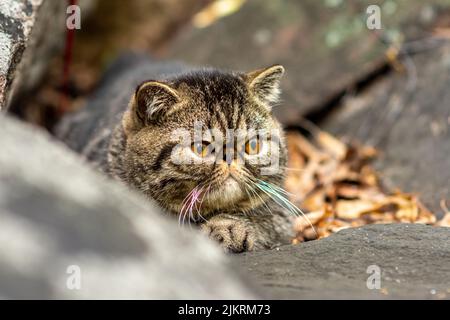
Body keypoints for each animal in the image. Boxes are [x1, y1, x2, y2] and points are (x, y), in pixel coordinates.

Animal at [57, 55, 296, 252]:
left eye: (251, 146)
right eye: (201, 147)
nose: (230, 159)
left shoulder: (282, 213)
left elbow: (263, 219)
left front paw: (227, 228)